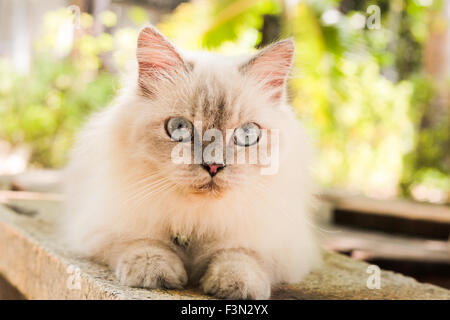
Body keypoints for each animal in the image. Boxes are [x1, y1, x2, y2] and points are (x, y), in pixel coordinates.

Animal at [60, 26, 320, 298]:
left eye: (247, 135)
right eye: (179, 129)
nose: (214, 166)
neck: (197, 220)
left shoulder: (277, 244)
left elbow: (241, 255)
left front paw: (237, 284)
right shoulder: (102, 226)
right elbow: (142, 242)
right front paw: (153, 272)